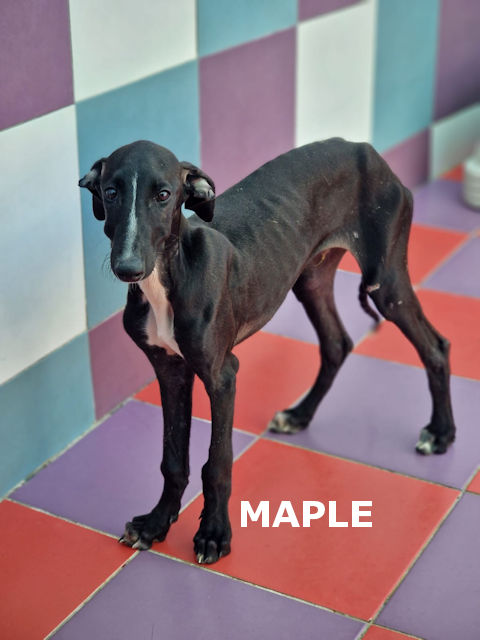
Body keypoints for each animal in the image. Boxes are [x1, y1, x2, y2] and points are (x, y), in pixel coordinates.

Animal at [79, 138, 455, 564]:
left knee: (435, 345)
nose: (128, 268)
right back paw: (300, 414)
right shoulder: (170, 371)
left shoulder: (222, 375)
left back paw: (441, 433)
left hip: (387, 283)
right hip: (312, 279)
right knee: (337, 343)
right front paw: (156, 524)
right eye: (111, 192)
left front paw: (214, 535)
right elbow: (173, 459)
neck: (170, 275)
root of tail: (364, 147)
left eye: (163, 195)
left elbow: (218, 463)